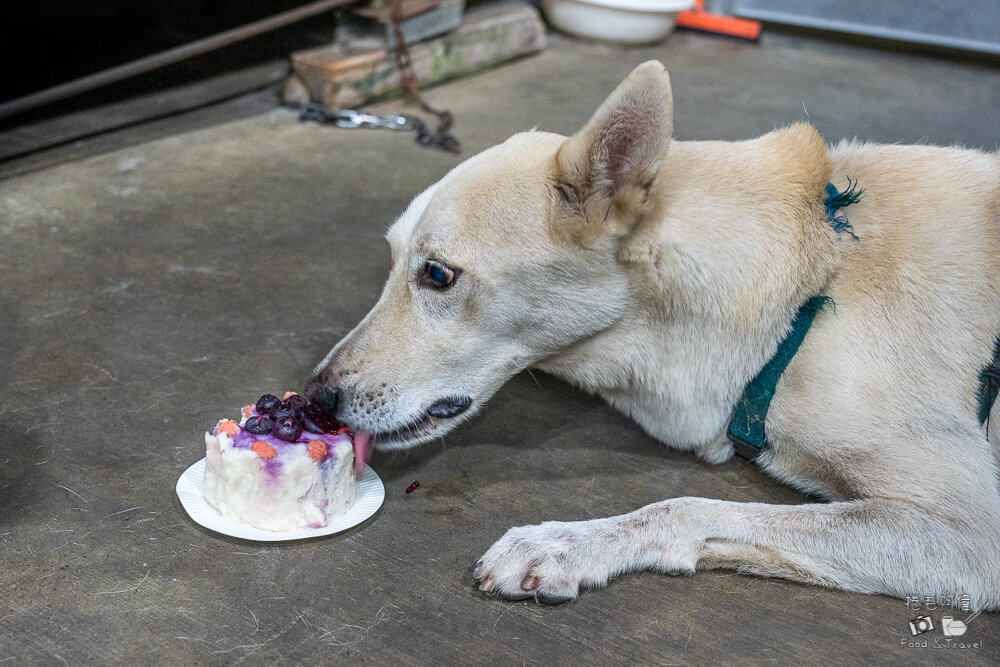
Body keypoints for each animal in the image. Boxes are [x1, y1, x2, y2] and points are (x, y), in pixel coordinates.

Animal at [304, 62, 1000, 612]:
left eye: (439, 275)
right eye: (393, 260)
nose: (315, 398)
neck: (809, 287)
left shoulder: (974, 533)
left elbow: (687, 505)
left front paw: (563, 543)